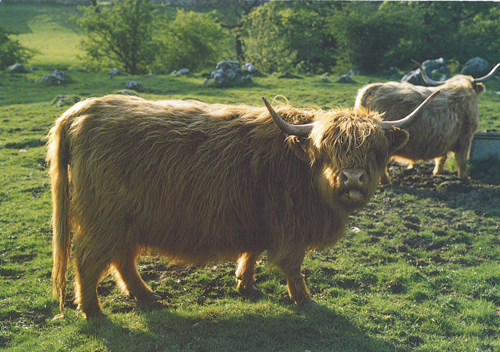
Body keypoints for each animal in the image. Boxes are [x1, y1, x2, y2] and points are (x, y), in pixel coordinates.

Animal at [47, 92, 438, 318]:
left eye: (375, 150)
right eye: (327, 149)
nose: (353, 179)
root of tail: (82, 111)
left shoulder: (259, 219)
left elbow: (252, 252)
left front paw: (245, 284)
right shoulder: (290, 227)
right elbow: (292, 265)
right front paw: (305, 299)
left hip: (126, 220)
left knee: (122, 259)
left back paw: (148, 297)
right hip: (105, 218)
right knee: (89, 260)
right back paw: (94, 311)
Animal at [356, 60, 500, 184]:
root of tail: (375, 88)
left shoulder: (445, 139)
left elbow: (442, 158)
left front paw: (438, 173)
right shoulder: (465, 138)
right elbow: (462, 160)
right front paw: (465, 179)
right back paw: (386, 181)